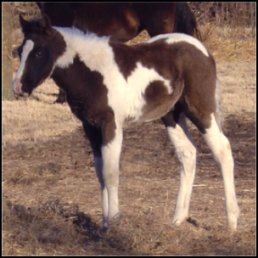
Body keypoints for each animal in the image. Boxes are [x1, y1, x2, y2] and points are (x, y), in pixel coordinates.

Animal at [11, 15, 239, 230]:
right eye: (20, 51)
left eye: (39, 52)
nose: (18, 87)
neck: (93, 73)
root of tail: (203, 50)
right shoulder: (90, 126)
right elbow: (100, 172)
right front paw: (103, 224)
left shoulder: (111, 125)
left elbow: (111, 172)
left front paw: (114, 222)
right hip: (172, 115)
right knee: (188, 154)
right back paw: (178, 219)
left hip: (201, 110)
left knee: (223, 150)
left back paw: (232, 222)